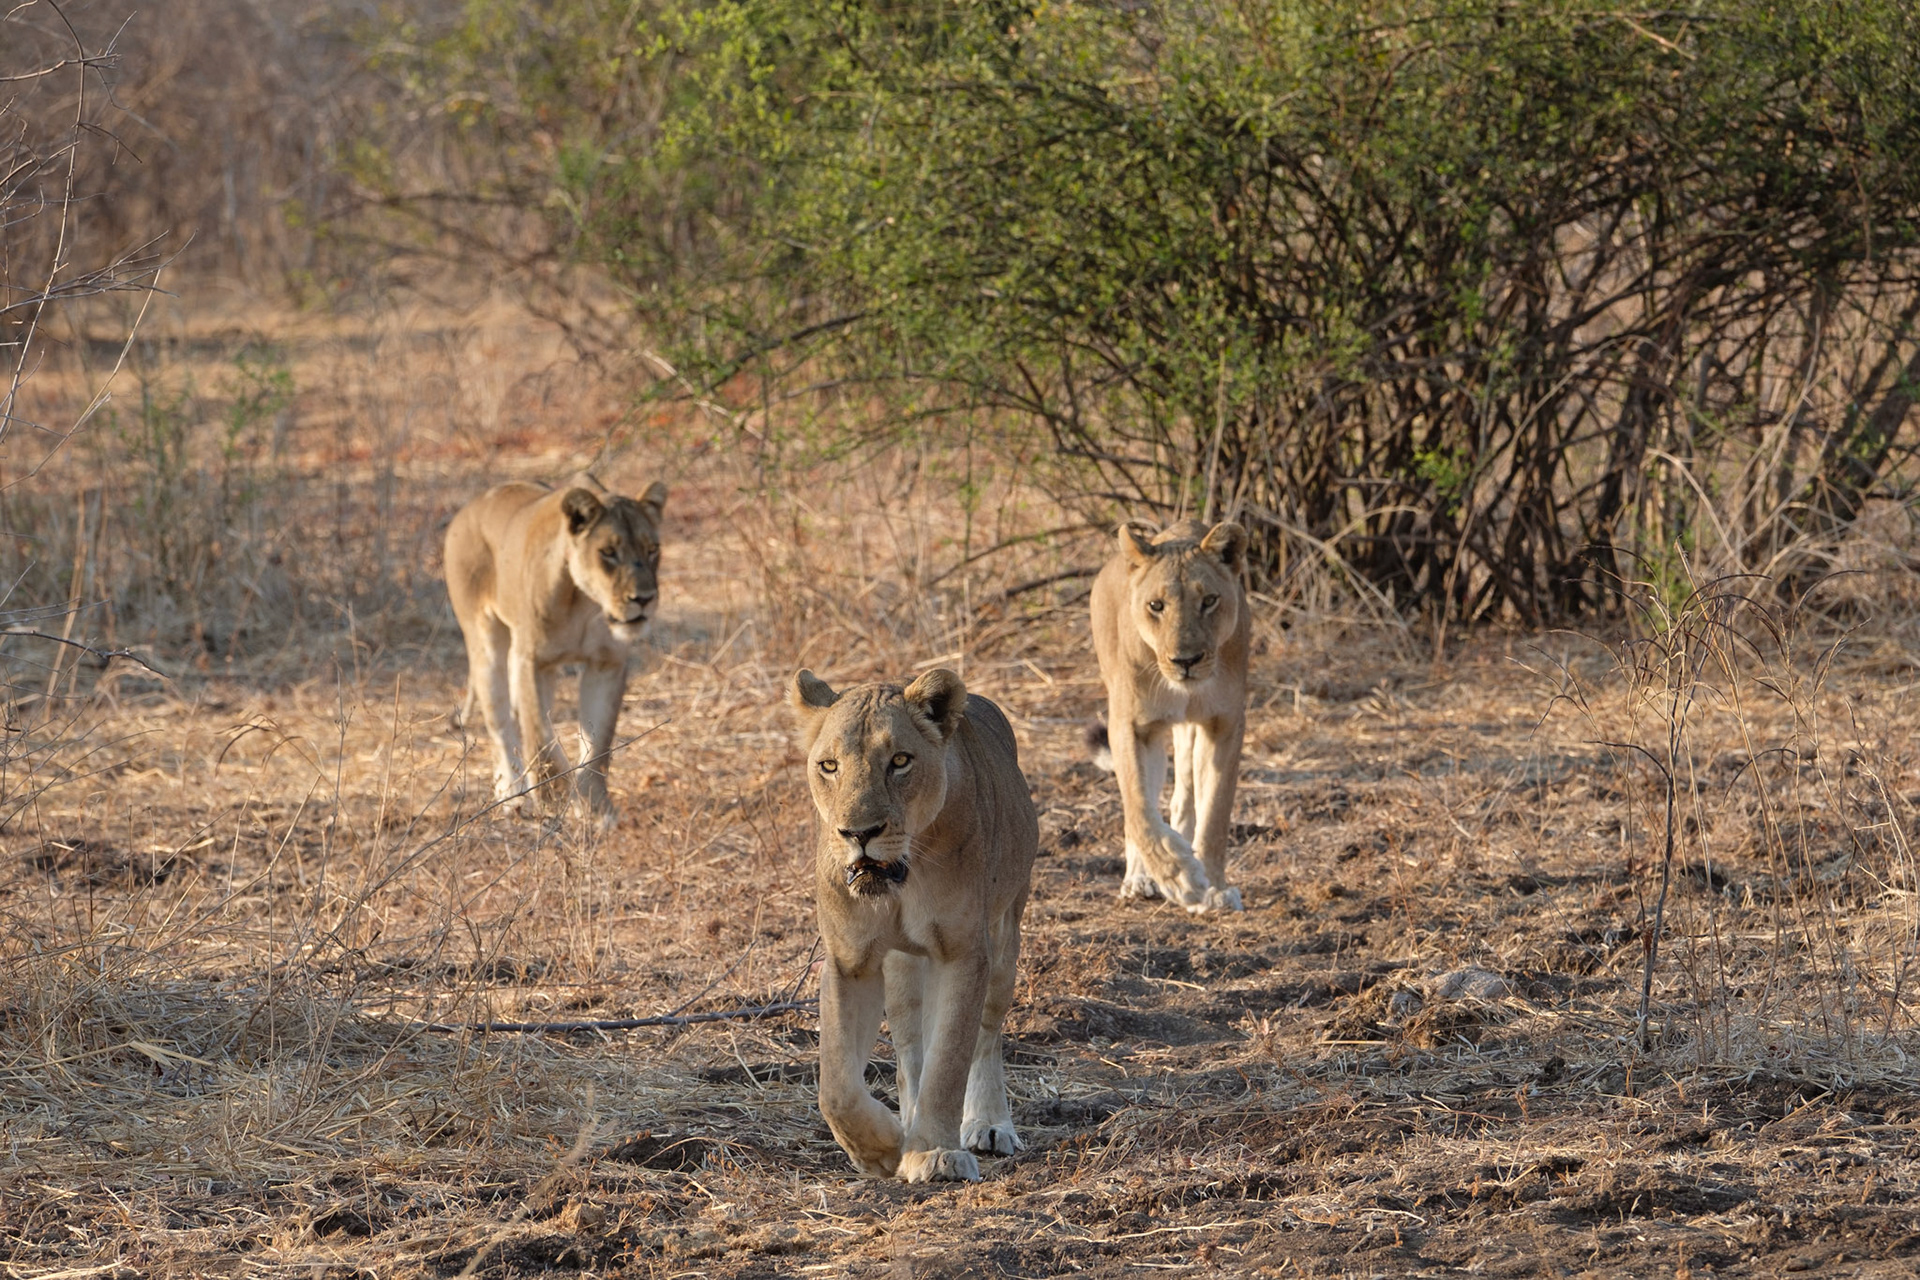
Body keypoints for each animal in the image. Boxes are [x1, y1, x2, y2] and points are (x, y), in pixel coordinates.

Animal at [444, 472, 666, 826]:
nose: (644, 599)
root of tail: (467, 508)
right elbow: (539, 735)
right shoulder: (531, 660)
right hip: (486, 641)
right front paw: (554, 797)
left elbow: (598, 745)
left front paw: (596, 810)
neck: (586, 603)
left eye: (653, 549)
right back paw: (511, 792)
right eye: (608, 552)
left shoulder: (607, 664)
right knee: (500, 721)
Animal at [789, 667, 1039, 1183]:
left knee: (986, 1037)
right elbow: (836, 1085)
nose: (859, 833)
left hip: (1005, 939)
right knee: (909, 1050)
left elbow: (950, 1060)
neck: (903, 881)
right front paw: (881, 1149)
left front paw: (936, 1153)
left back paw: (988, 1124)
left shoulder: (964, 953)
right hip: (902, 968)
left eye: (900, 761)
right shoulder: (850, 961)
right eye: (829, 766)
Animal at [1089, 518, 1250, 914]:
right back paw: (1140, 879)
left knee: (1184, 796)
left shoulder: (1224, 724)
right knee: (1141, 806)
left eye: (1209, 600)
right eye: (1156, 605)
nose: (1186, 661)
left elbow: (1216, 812)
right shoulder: (1130, 726)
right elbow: (1139, 808)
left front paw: (1213, 887)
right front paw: (1179, 877)